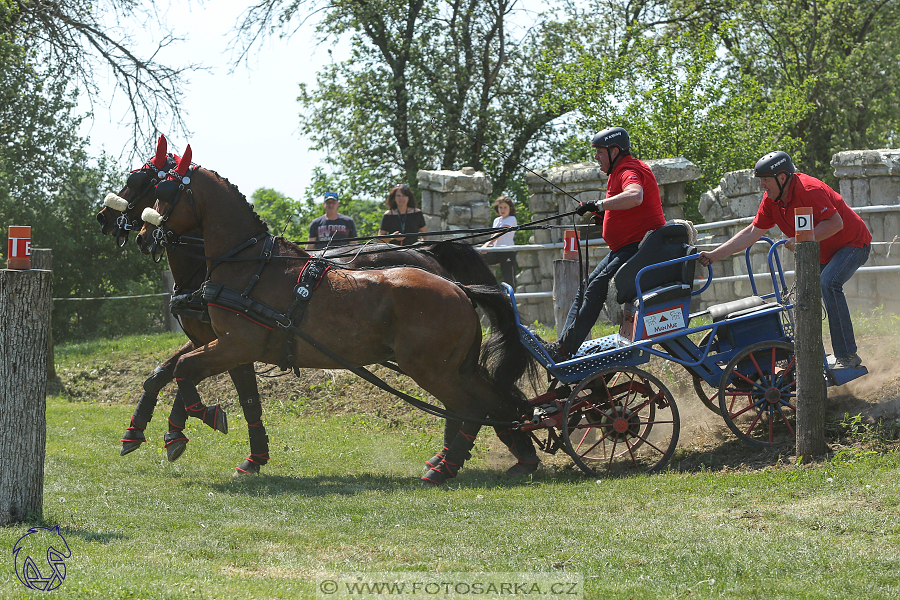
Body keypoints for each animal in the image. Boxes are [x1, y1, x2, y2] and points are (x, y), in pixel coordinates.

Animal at [96, 137, 512, 478]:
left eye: (154, 187)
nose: (142, 235)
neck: (243, 264)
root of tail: (457, 288)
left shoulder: (233, 345)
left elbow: (187, 374)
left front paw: (194, 424)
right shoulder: (220, 343)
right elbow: (176, 376)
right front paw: (149, 433)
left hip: (430, 367)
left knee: (471, 406)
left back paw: (450, 465)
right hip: (453, 366)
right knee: (492, 400)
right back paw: (505, 455)